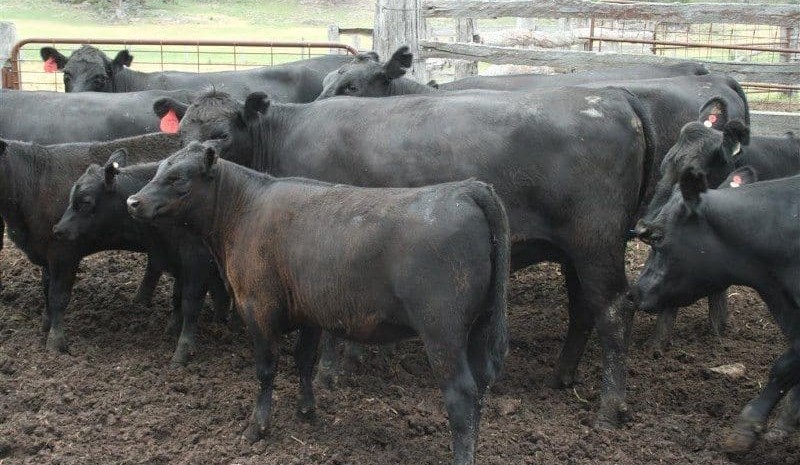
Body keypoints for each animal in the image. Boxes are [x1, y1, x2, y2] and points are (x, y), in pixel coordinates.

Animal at [0, 133, 179, 353]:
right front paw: (45, 325)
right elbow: (46, 290)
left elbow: (58, 296)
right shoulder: (45, 254)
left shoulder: (64, 252)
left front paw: (56, 341)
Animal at [52, 156, 230, 365]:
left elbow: (190, 306)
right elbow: (177, 299)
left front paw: (182, 352)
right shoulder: (178, 264)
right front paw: (171, 331)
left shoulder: (197, 263)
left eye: (85, 201)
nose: (58, 229)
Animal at [126, 141, 510, 465]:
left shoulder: (258, 308)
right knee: (480, 389)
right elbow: (304, 360)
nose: (132, 201)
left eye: (178, 177)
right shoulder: (309, 311)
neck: (245, 209)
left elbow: (266, 369)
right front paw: (307, 410)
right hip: (479, 328)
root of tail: (465, 188)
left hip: (442, 333)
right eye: (159, 169)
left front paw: (256, 427)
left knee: (461, 395)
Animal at [150, 85, 656, 427]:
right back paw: (563, 376)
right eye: (181, 137)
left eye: (221, 133)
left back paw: (609, 408)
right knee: (583, 309)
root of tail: (610, 95)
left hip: (595, 244)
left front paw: (331, 371)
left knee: (613, 313)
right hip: (577, 252)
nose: (198, 154)